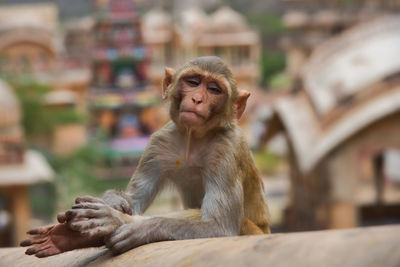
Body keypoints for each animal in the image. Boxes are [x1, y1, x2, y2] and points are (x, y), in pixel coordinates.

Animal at [22, 56, 272, 258]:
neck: (193, 139)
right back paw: (67, 237)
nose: (198, 99)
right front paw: (115, 201)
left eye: (214, 89)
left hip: (254, 231)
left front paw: (126, 223)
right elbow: (134, 199)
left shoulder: (227, 149)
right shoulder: (157, 143)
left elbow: (219, 226)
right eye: (193, 82)